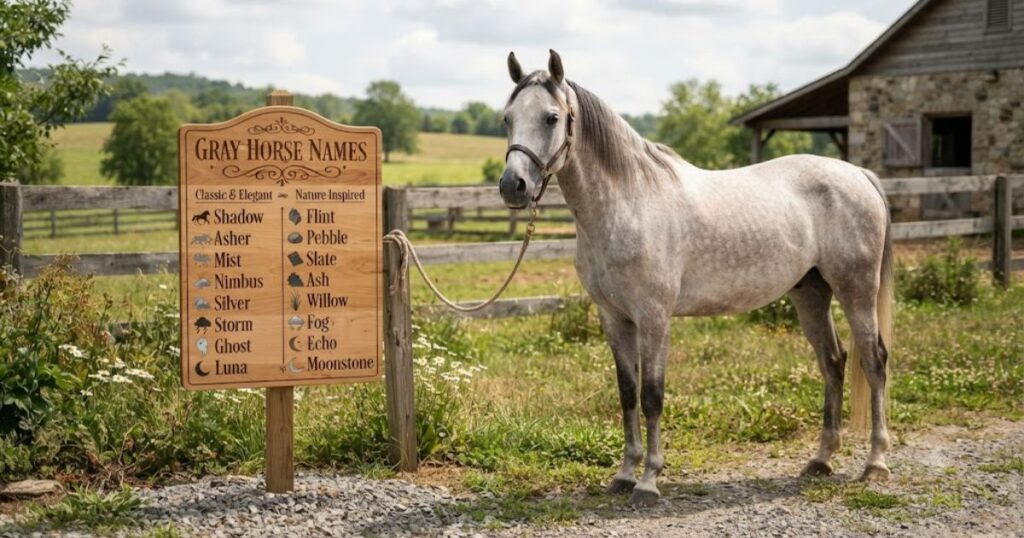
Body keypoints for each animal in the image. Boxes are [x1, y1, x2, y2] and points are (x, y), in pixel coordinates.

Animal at [498, 50, 893, 507]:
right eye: (507, 117)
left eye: (551, 117)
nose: (513, 186)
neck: (629, 201)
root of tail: (859, 175)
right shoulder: (614, 317)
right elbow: (627, 392)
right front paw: (624, 474)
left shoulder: (654, 317)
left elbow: (652, 395)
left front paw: (649, 480)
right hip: (811, 293)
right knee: (833, 362)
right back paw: (821, 460)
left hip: (856, 291)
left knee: (874, 361)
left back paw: (876, 463)